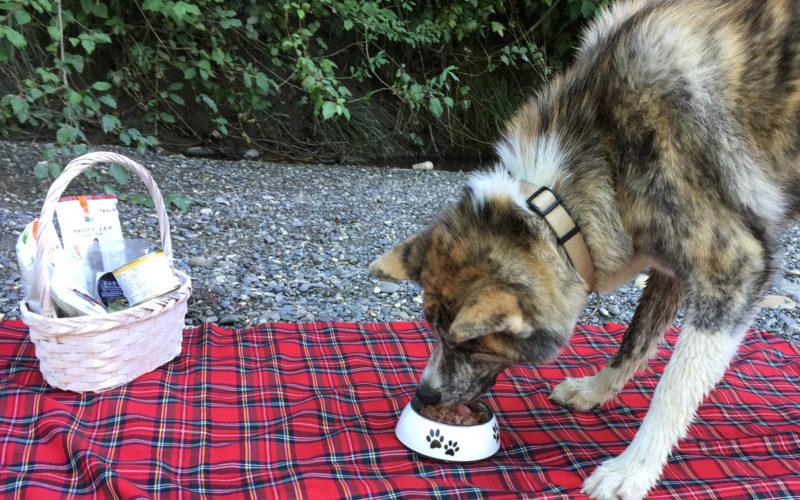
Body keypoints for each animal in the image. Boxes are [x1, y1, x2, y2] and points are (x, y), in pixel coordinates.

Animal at [368, 1, 800, 498]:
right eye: (431, 330)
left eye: (471, 345)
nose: (425, 396)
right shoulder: (668, 264)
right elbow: (634, 340)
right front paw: (596, 390)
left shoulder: (735, 265)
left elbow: (674, 386)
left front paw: (633, 469)